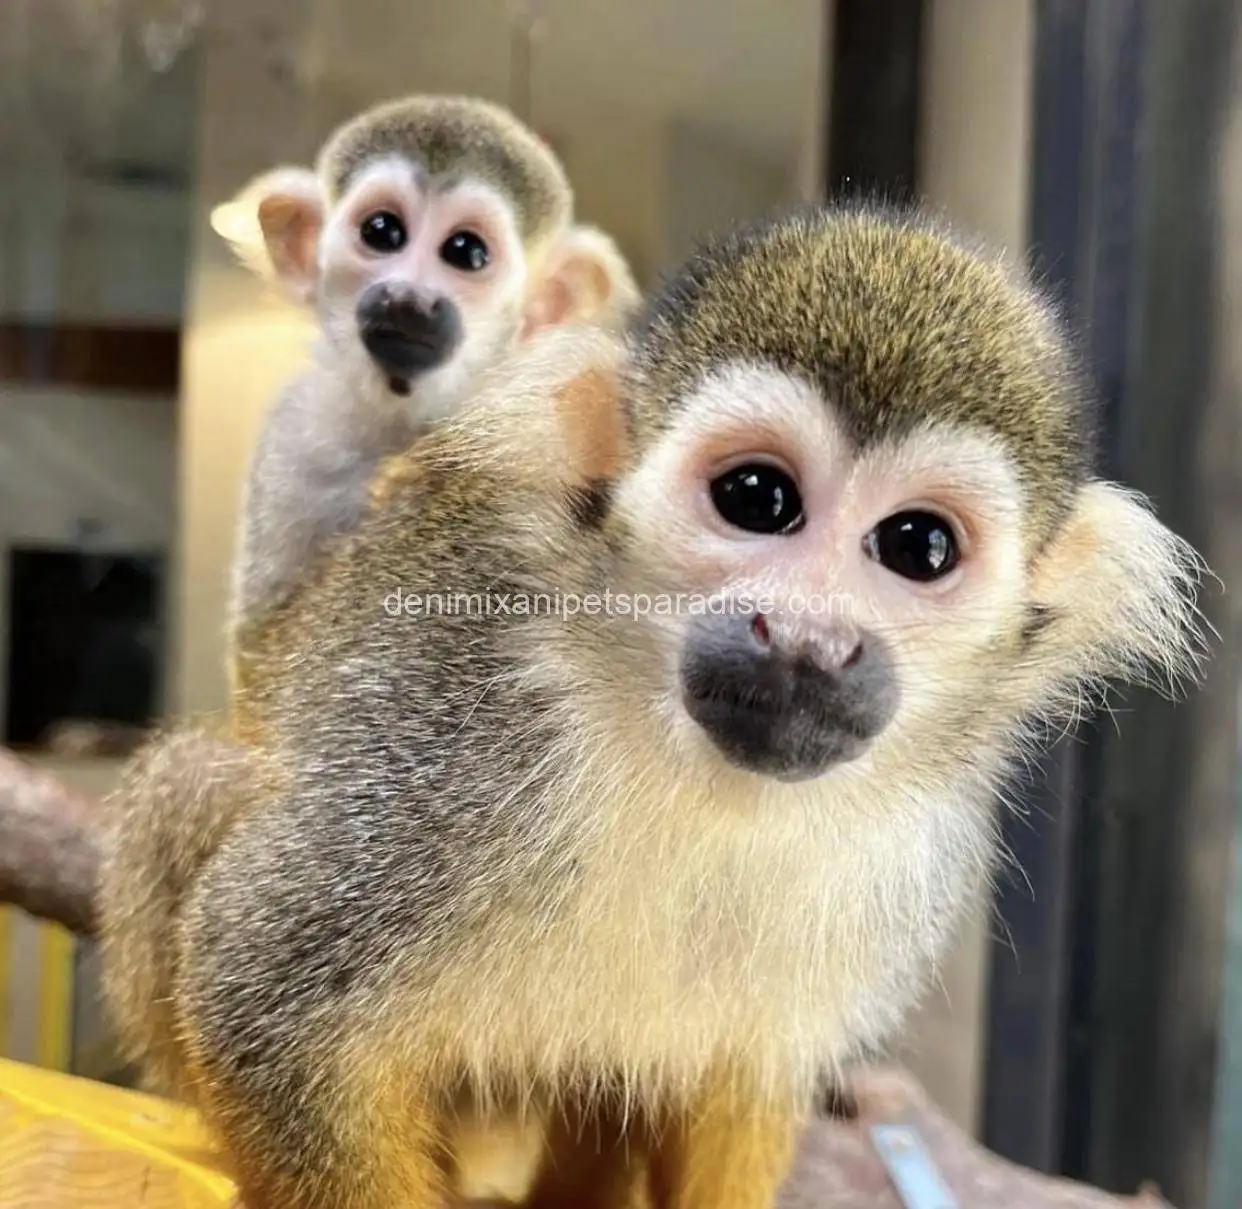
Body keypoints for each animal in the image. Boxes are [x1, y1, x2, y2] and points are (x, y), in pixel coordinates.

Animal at [98, 203, 1207, 1209]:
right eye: (757, 498)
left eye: (917, 548)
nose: (809, 637)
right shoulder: (462, 743)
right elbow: (260, 983)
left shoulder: (911, 857)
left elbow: (742, 1079)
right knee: (191, 786)